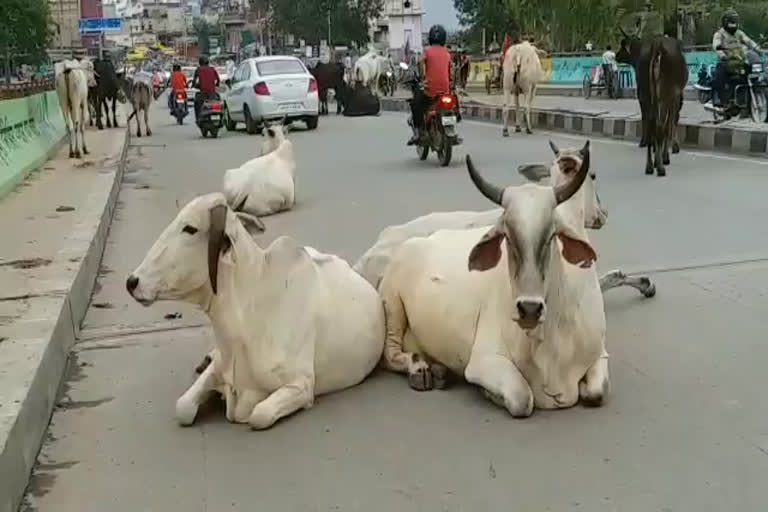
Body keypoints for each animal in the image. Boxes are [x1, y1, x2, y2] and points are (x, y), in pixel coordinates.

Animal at [130, 194, 390, 430]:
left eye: (190, 228)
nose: (132, 282)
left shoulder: (301, 386)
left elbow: (259, 415)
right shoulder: (218, 370)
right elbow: (183, 408)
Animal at [616, 32, 688, 176]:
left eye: (622, 44)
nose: (616, 55)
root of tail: (656, 46)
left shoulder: (643, 96)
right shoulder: (674, 96)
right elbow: (670, 122)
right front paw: (666, 153)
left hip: (648, 92)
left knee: (652, 122)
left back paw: (650, 165)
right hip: (665, 92)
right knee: (661, 124)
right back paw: (660, 165)